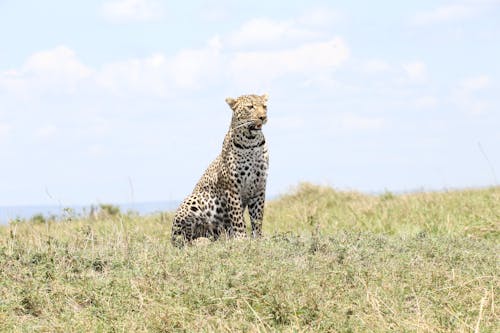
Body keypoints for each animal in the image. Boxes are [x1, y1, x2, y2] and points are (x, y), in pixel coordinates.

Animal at [172, 92, 270, 244]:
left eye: (264, 106)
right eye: (250, 107)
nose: (263, 117)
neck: (251, 143)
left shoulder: (259, 187)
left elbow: (257, 216)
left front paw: (257, 238)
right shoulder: (232, 187)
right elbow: (237, 216)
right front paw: (241, 239)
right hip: (192, 202)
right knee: (182, 240)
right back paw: (200, 242)